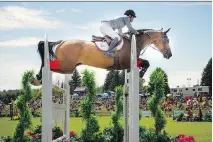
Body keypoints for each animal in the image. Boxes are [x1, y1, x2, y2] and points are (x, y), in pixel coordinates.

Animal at [30, 27, 172, 85]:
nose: (169, 55)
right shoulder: (127, 61)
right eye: (166, 40)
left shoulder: (131, 62)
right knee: (49, 64)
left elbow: (145, 63)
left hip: (68, 67)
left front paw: (141, 73)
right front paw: (141, 74)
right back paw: (37, 78)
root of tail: (62, 42)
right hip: (67, 66)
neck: (133, 41)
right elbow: (146, 63)